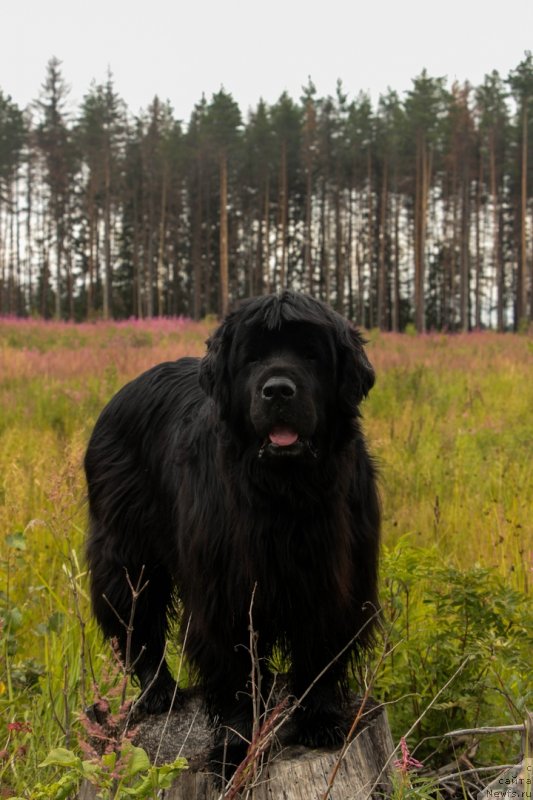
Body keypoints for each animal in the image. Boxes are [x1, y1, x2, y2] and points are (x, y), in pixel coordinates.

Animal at [84, 292, 378, 768]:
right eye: (252, 357)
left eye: (311, 354)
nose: (277, 390)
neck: (285, 491)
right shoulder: (226, 590)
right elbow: (233, 669)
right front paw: (236, 746)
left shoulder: (335, 581)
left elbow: (320, 654)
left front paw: (320, 720)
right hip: (126, 552)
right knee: (137, 621)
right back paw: (158, 692)